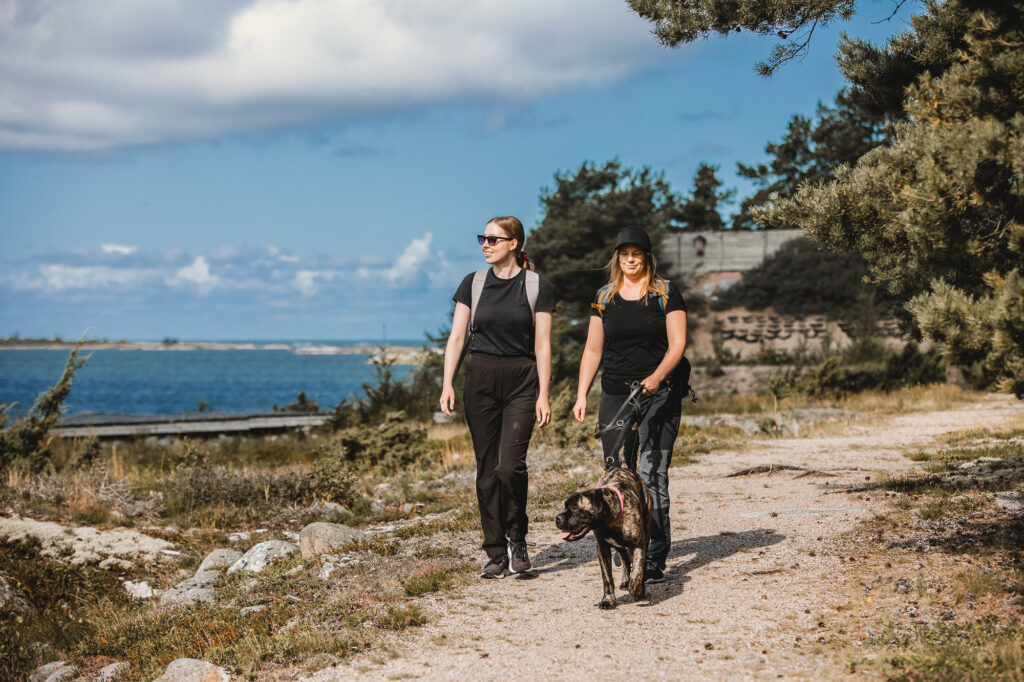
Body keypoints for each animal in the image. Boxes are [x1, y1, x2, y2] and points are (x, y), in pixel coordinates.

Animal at [557, 466, 651, 606]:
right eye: (565, 506)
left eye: (574, 507)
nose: (557, 518)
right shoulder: (602, 548)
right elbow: (607, 577)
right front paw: (608, 600)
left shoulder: (638, 544)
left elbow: (637, 572)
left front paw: (637, 592)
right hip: (617, 544)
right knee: (624, 557)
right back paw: (625, 581)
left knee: (638, 564)